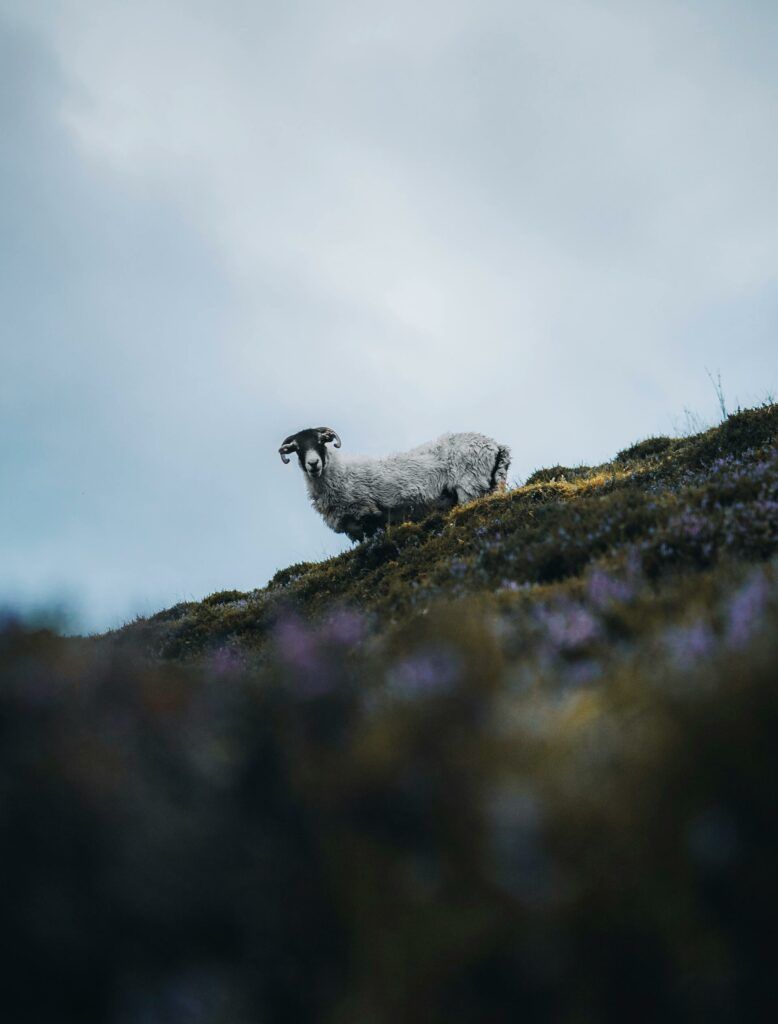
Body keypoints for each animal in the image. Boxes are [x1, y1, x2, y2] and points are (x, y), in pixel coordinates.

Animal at [279, 426, 511, 541]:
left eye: (321, 441)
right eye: (297, 448)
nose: (313, 463)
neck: (340, 473)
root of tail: (496, 446)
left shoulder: (366, 514)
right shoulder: (354, 529)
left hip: (470, 486)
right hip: (492, 483)